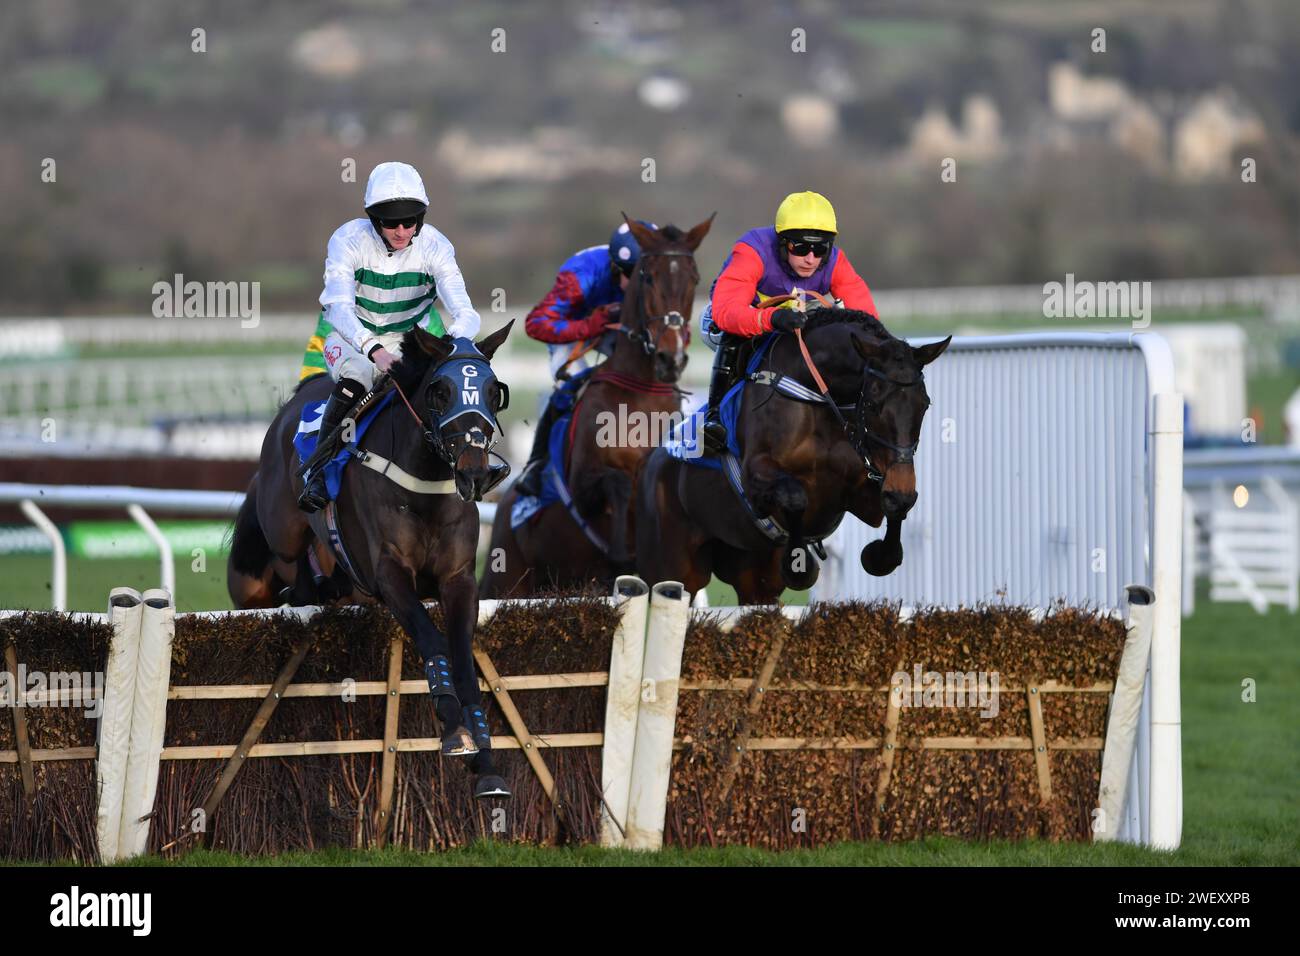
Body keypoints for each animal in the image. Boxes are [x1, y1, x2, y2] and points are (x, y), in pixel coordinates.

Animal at [231, 323, 514, 801]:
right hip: (280, 529)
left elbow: (462, 659)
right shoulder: (389, 575)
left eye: (494, 392)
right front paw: (454, 730)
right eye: (440, 392)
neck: (423, 484)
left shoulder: (458, 580)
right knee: (285, 556)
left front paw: (487, 764)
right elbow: (433, 642)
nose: (475, 471)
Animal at [483, 217, 717, 598]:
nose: (671, 358)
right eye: (648, 276)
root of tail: (502, 508)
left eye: (693, 278)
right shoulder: (581, 489)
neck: (642, 395)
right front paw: (622, 551)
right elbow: (618, 483)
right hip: (506, 579)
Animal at [634, 310, 951, 600]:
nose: (901, 487)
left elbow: (892, 506)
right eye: (873, 403)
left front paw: (882, 554)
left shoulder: (864, 491)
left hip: (749, 573)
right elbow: (794, 495)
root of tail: (652, 463)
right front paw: (799, 564)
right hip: (674, 570)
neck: (816, 398)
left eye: (924, 403)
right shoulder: (756, 477)